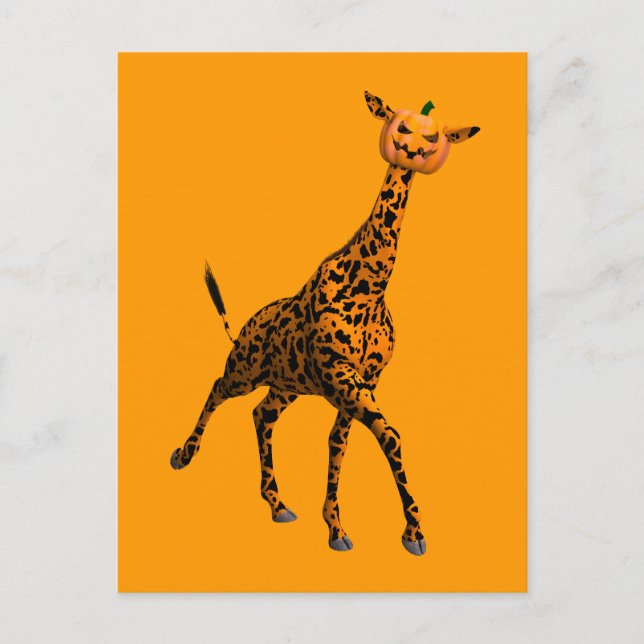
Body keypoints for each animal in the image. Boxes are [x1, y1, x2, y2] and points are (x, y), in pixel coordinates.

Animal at [170, 91, 480, 556]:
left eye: (436, 137)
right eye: (399, 124)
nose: (410, 151)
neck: (370, 287)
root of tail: (244, 326)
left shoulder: (362, 379)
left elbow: (340, 442)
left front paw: (336, 526)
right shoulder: (340, 374)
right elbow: (389, 435)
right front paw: (412, 531)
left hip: (287, 384)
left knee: (261, 414)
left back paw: (277, 503)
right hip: (245, 369)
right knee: (217, 388)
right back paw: (183, 455)